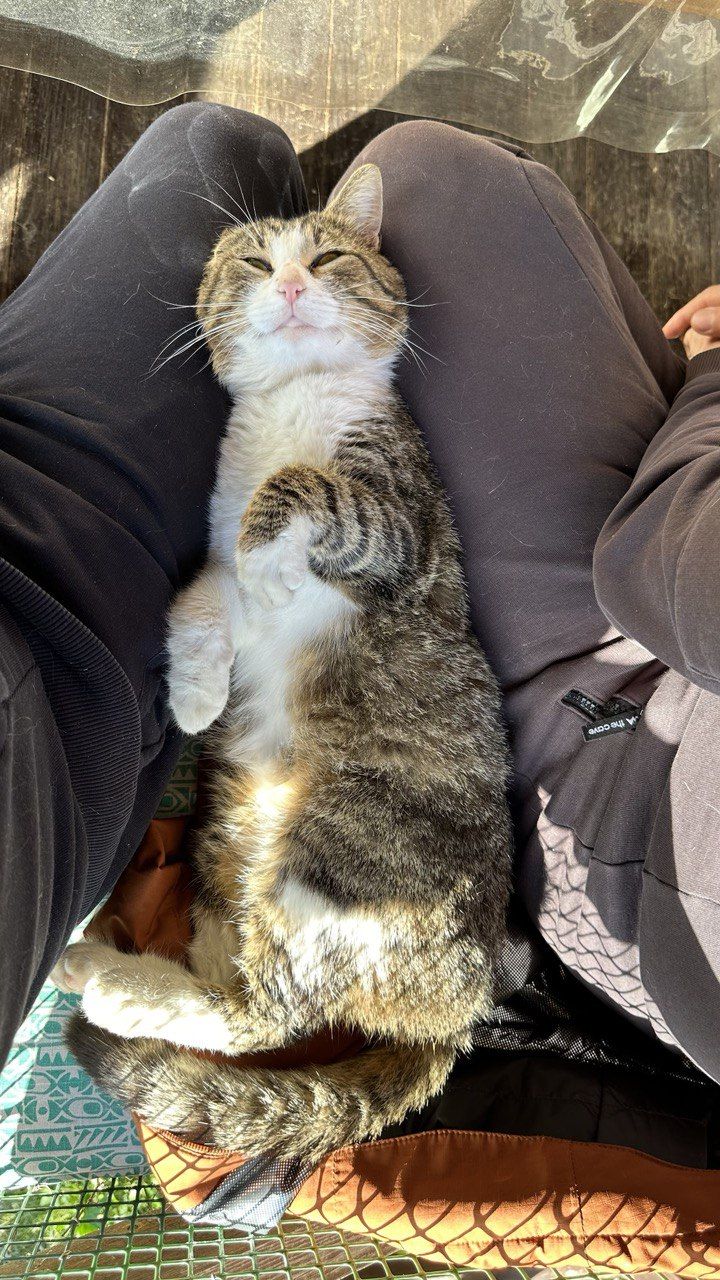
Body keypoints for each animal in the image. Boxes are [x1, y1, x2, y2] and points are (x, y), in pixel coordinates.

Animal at [56, 163, 513, 1168]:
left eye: (332, 256)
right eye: (257, 262)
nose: (297, 283)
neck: (298, 401)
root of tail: (459, 1012)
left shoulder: (405, 526)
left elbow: (303, 489)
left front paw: (276, 556)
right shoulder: (216, 552)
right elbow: (203, 593)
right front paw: (195, 691)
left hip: (341, 843)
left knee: (266, 1016)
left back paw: (118, 989)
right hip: (229, 831)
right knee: (233, 971)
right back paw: (113, 961)